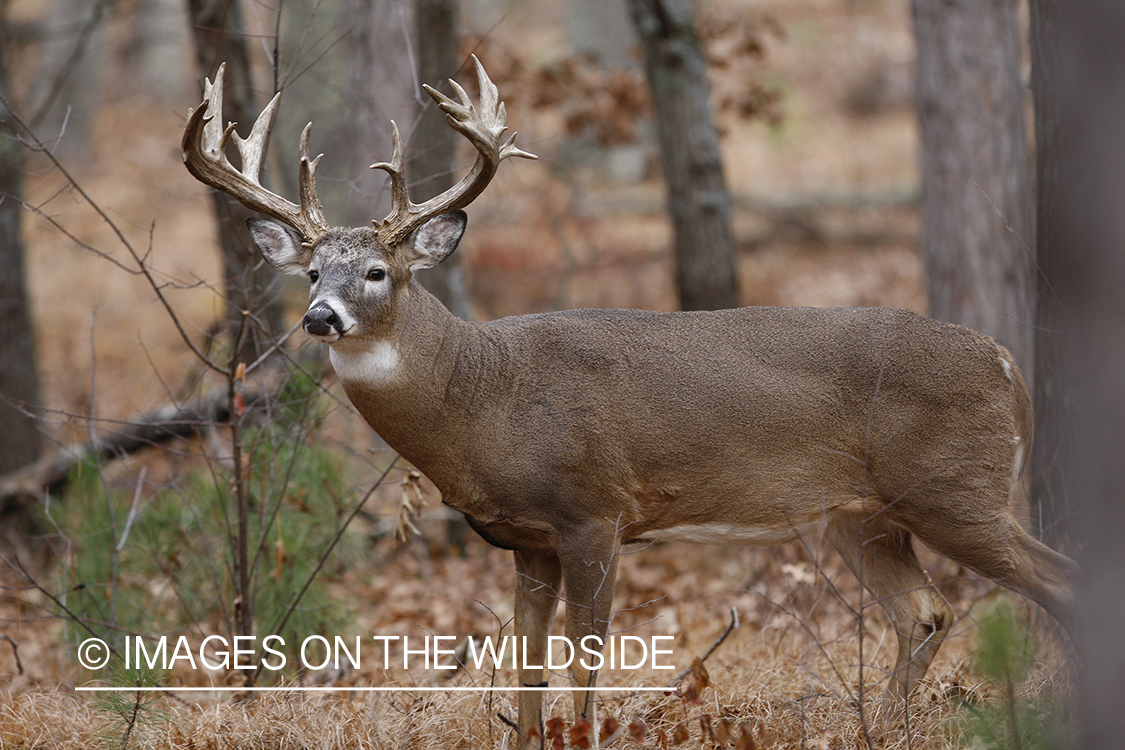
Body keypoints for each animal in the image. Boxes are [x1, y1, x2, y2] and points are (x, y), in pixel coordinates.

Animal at [182, 54, 1071, 746]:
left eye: (376, 272)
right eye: (310, 271)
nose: (318, 317)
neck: (486, 398)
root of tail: (1006, 363)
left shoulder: (595, 509)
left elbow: (585, 655)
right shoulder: (524, 539)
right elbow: (527, 662)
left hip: (957, 487)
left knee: (1053, 579)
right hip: (860, 514)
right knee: (924, 613)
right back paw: (880, 729)